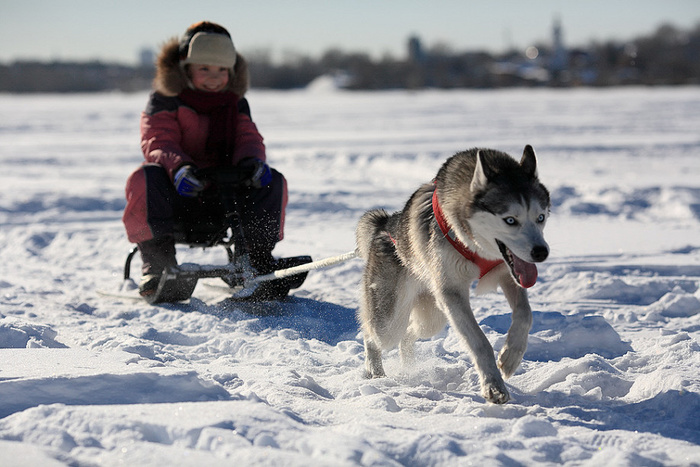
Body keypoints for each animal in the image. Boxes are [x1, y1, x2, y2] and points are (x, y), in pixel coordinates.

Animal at [358, 146, 548, 406]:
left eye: (541, 217)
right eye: (510, 220)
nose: (541, 252)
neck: (475, 244)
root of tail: (385, 226)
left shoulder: (507, 273)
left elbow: (525, 314)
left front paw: (510, 357)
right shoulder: (452, 293)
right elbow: (479, 342)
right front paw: (493, 386)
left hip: (433, 317)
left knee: (408, 335)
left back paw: (408, 364)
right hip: (390, 321)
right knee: (372, 335)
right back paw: (375, 372)